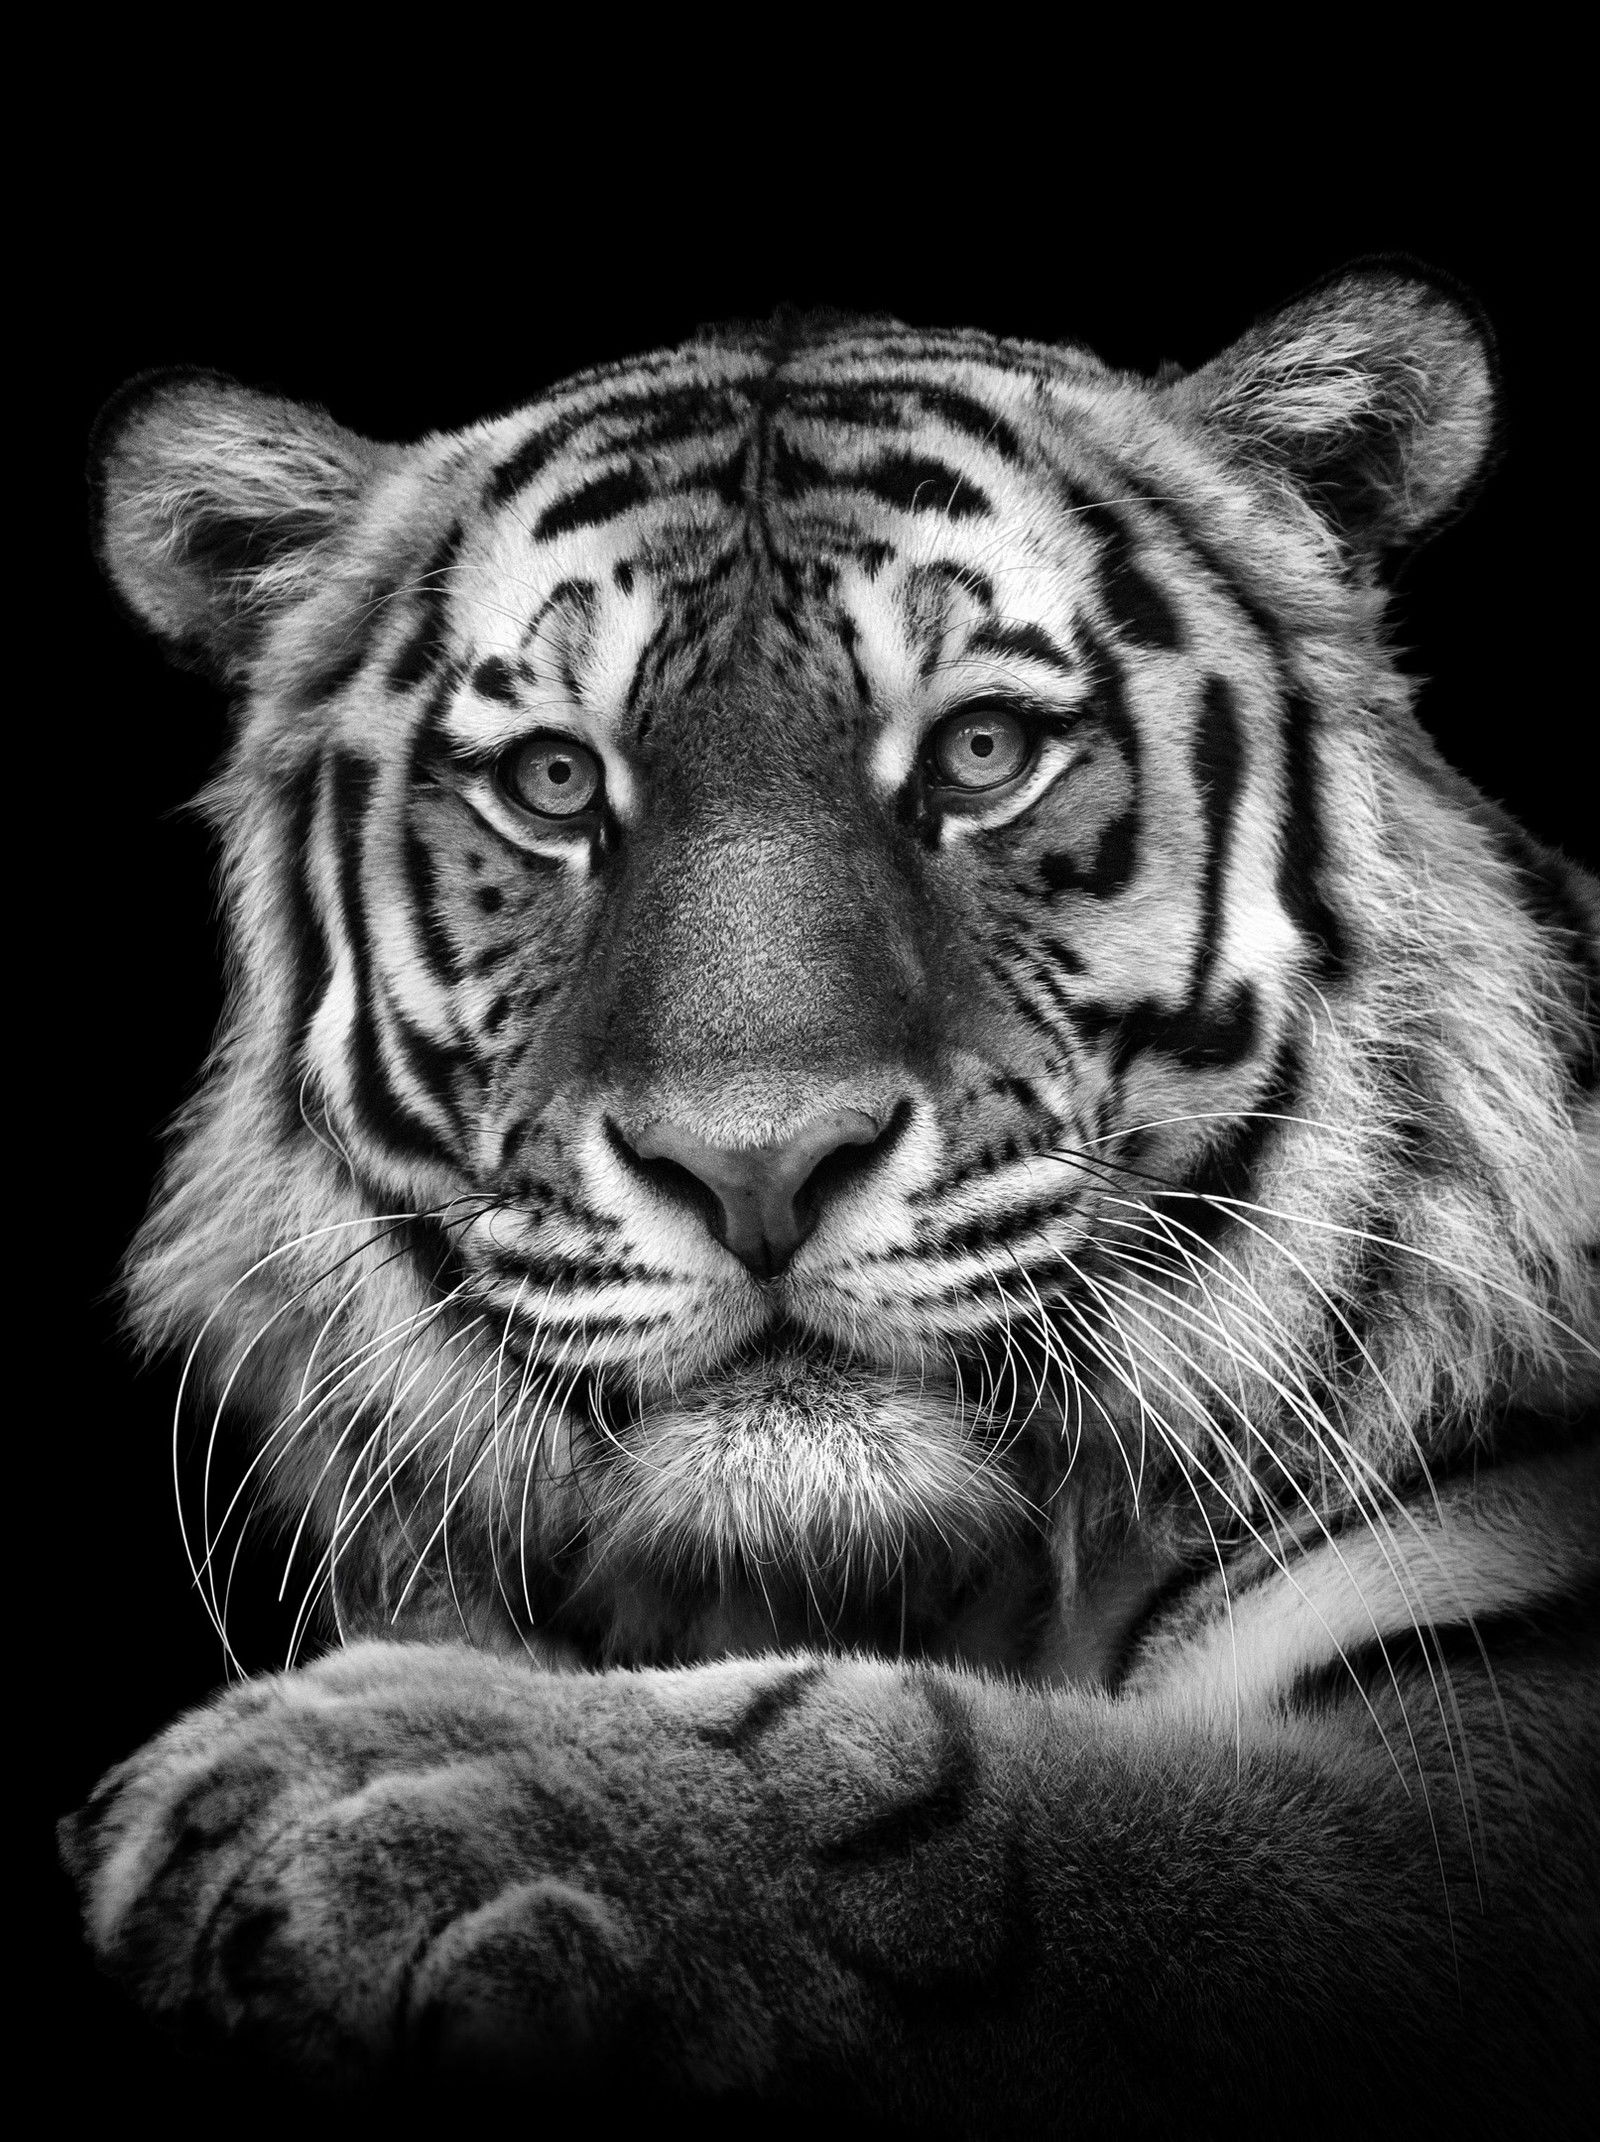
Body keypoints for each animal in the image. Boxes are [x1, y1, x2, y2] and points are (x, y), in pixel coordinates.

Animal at [63, 264, 1599, 2134]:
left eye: (984, 752)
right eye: (555, 783)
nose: (756, 1164)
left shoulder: (1482, 1778)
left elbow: (957, 1803)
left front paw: (373, 1781)